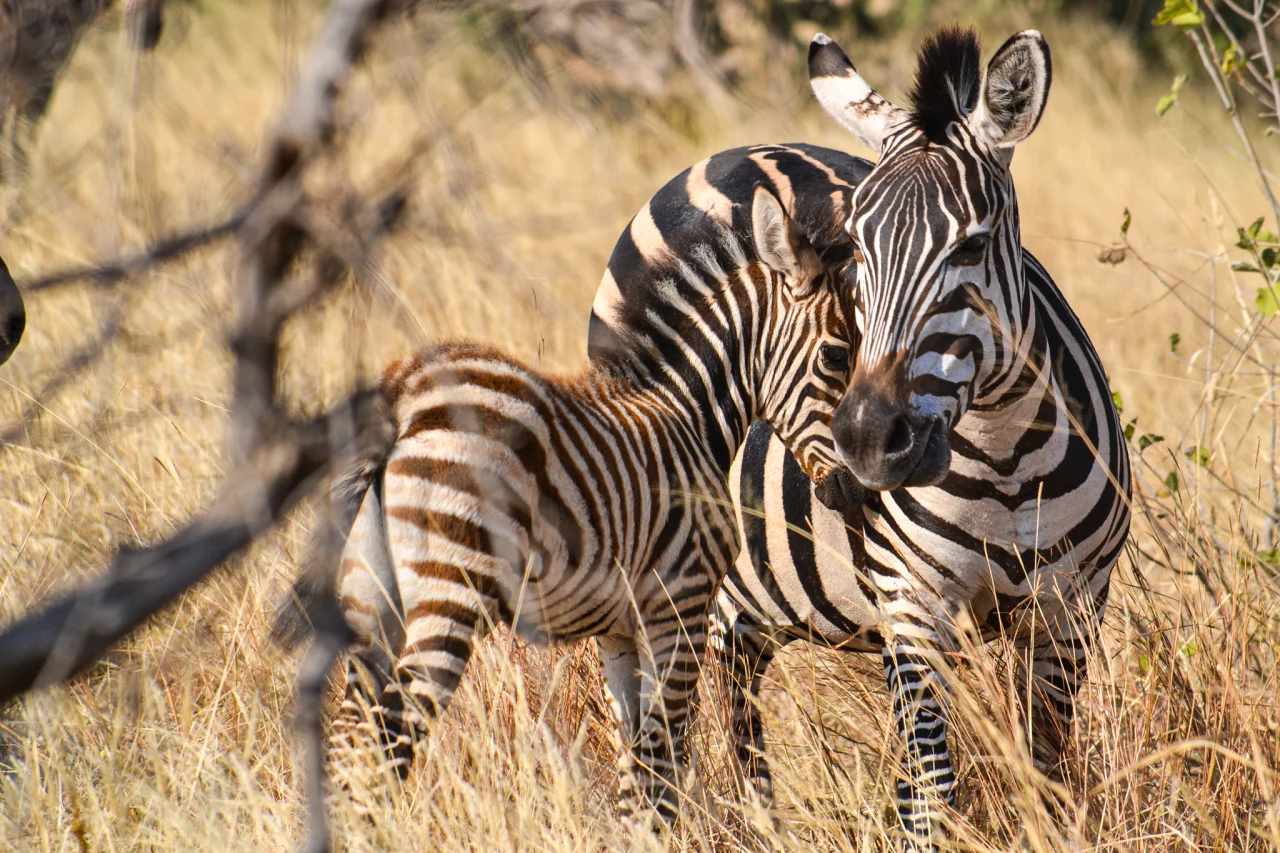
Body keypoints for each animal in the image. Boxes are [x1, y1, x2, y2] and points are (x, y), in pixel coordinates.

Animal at [314, 183, 856, 826]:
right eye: (836, 357)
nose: (853, 489)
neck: (690, 413)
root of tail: (404, 391)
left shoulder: (620, 630)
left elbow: (635, 762)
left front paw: (636, 833)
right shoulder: (682, 603)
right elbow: (664, 754)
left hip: (372, 592)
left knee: (350, 736)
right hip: (450, 586)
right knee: (395, 729)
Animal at [588, 27, 1132, 851]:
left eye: (971, 246)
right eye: (858, 246)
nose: (871, 441)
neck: (1004, 458)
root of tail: (741, 149)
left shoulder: (1071, 608)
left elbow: (1047, 778)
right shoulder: (913, 603)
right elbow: (928, 787)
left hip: (749, 613)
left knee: (741, 726)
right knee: (650, 735)